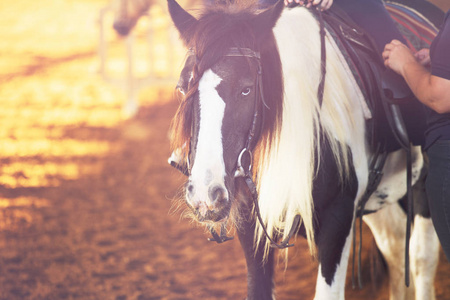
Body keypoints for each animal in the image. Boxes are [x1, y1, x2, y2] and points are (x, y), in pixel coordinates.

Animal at [168, 0, 440, 298]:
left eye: (246, 90)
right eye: (182, 88)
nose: (206, 194)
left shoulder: (338, 219)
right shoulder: (251, 229)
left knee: (421, 257)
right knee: (395, 248)